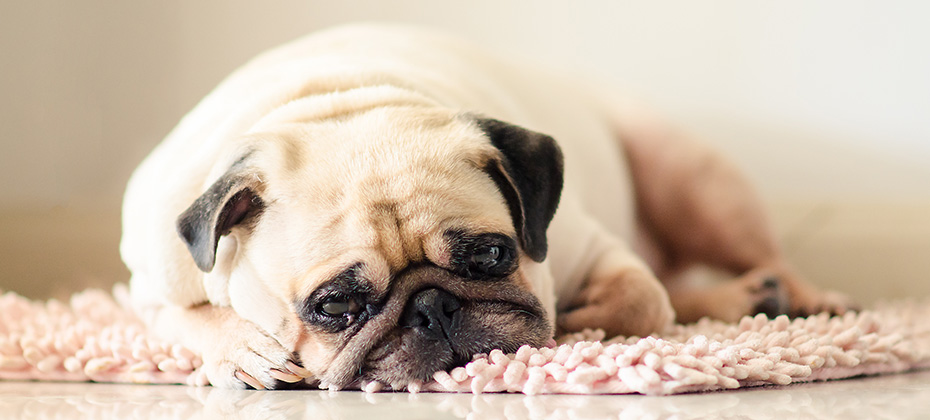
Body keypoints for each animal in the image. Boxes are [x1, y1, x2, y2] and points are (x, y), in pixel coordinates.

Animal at [119, 23, 852, 390]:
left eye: (493, 255)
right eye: (335, 307)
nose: (432, 307)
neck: (338, 103)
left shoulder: (586, 244)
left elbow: (642, 299)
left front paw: (581, 319)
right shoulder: (150, 285)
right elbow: (187, 319)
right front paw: (244, 350)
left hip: (690, 177)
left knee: (743, 259)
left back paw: (798, 297)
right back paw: (745, 298)